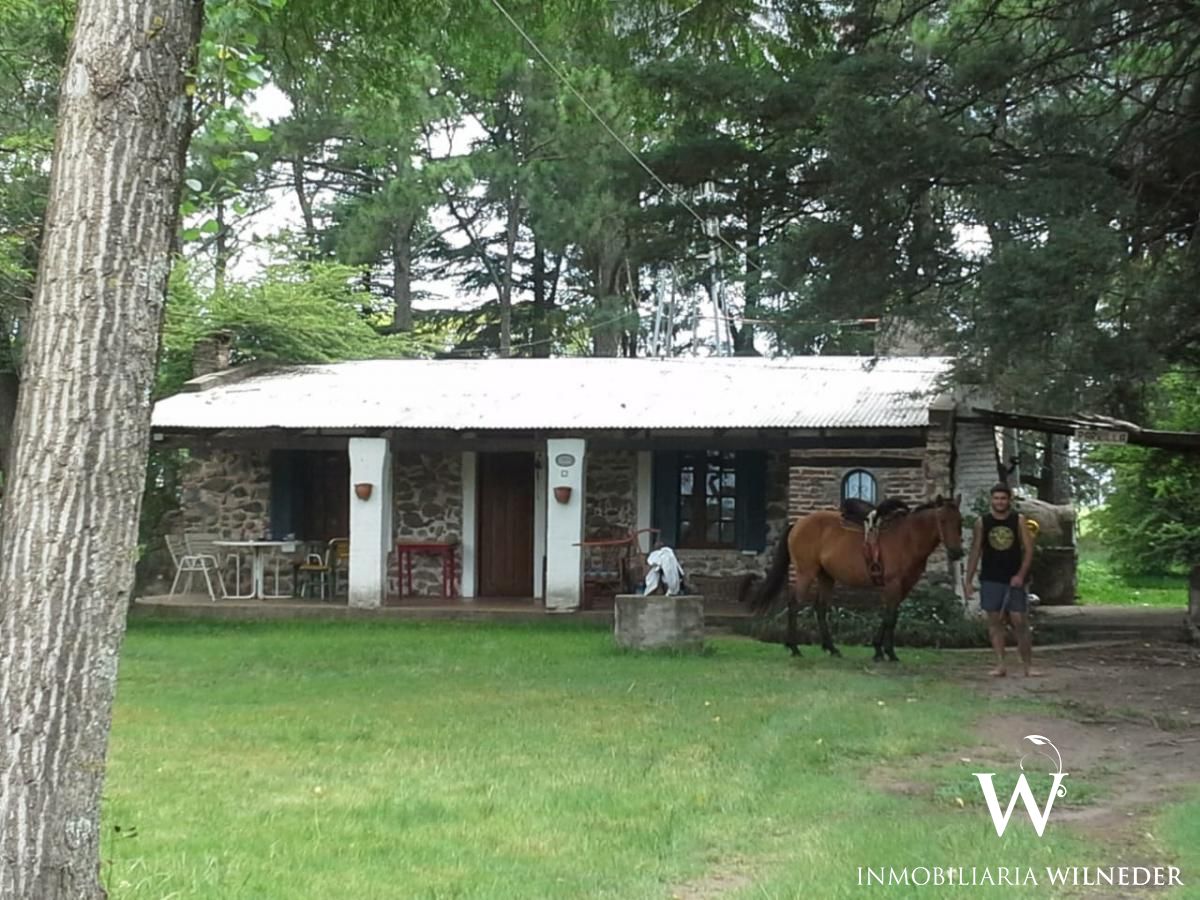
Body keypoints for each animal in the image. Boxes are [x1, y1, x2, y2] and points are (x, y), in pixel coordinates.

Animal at [749, 495, 965, 662]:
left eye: (960, 521)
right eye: (942, 521)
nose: (957, 553)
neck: (908, 538)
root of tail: (797, 524)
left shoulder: (904, 586)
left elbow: (890, 615)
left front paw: (880, 650)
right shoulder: (893, 584)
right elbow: (890, 617)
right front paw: (887, 652)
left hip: (826, 576)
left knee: (820, 608)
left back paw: (831, 648)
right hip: (805, 573)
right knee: (794, 604)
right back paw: (794, 648)